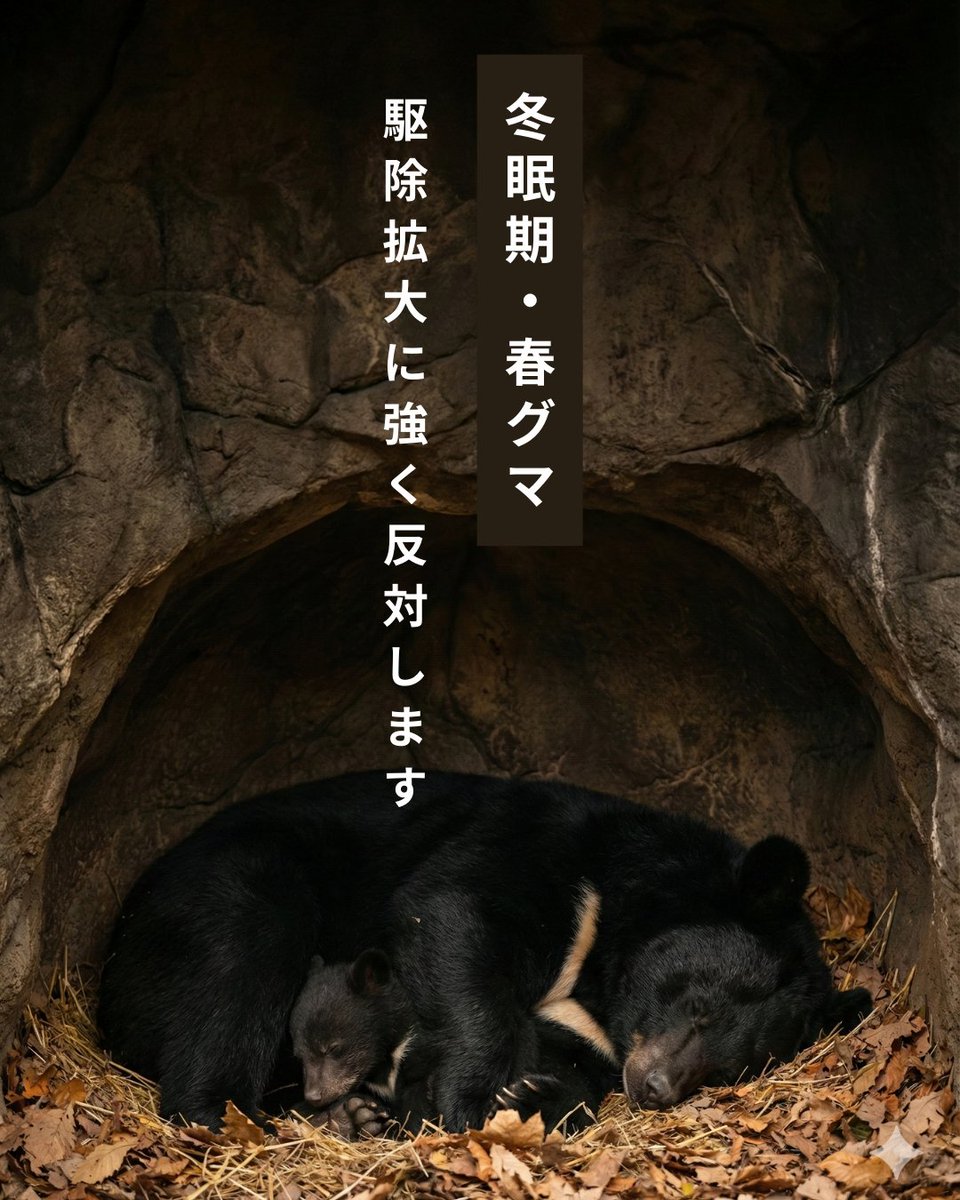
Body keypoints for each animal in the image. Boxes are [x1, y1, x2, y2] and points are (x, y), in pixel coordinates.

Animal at [97, 772, 870, 1132]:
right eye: (698, 1007)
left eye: (736, 1067)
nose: (653, 1088)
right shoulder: (538, 850)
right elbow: (455, 911)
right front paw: (469, 1100)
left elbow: (574, 1069)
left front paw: (531, 1095)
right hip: (232, 888)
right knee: (234, 973)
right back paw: (234, 1113)